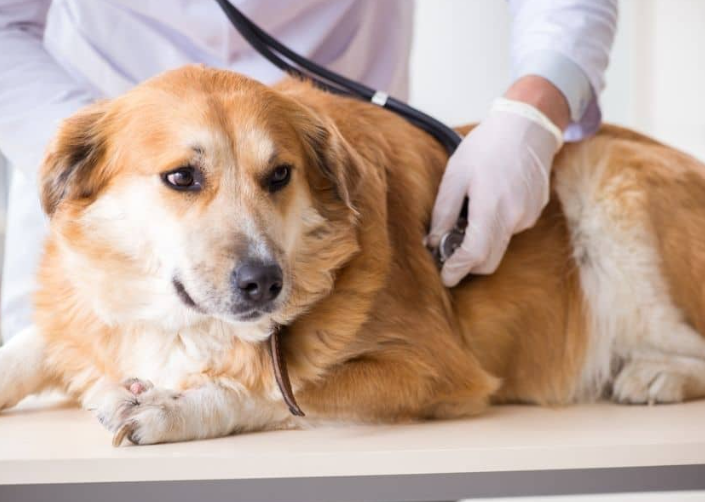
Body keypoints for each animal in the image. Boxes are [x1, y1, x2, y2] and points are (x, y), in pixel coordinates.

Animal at [1, 64, 704, 446]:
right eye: (181, 177)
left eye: (279, 175)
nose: (265, 284)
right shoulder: (81, 317)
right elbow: (33, 344)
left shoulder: (438, 371)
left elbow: (286, 389)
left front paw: (175, 406)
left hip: (608, 186)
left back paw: (657, 374)